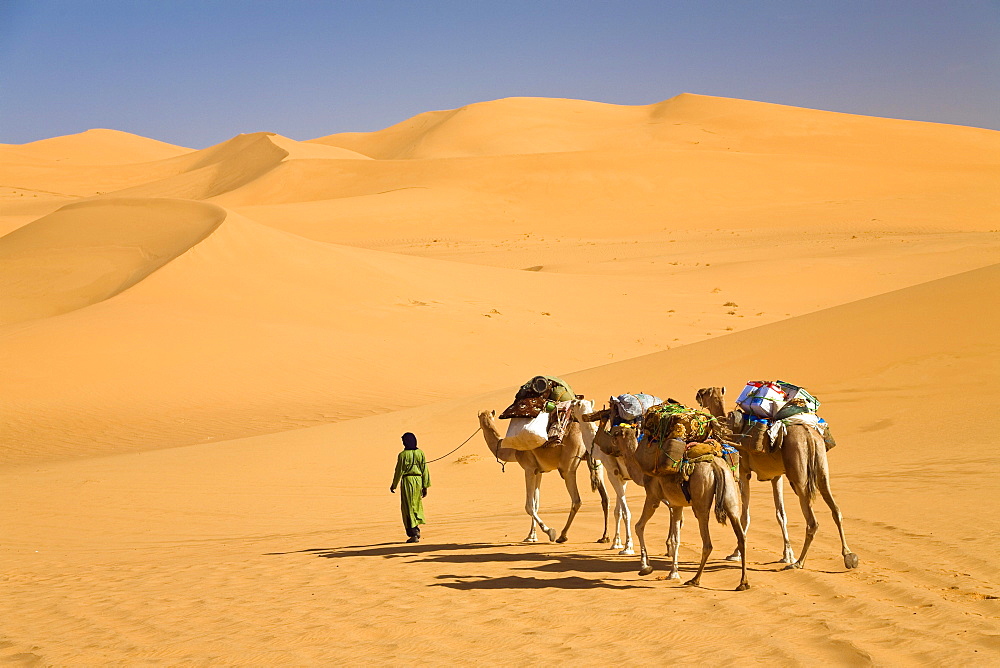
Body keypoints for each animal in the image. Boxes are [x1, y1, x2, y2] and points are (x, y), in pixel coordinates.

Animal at [476, 408, 608, 544]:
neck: (511, 450)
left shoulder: (528, 469)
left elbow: (529, 506)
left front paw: (549, 532)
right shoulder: (538, 471)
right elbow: (536, 504)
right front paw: (531, 536)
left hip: (568, 468)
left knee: (576, 500)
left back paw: (562, 536)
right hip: (597, 459)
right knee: (605, 497)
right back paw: (604, 537)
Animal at [604, 422, 748, 588]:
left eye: (615, 434)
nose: (607, 447)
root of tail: (715, 467)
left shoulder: (653, 497)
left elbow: (639, 526)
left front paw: (645, 567)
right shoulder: (676, 504)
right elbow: (676, 538)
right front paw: (673, 572)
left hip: (701, 498)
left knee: (707, 542)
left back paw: (695, 579)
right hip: (730, 492)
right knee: (741, 536)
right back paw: (743, 582)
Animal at [696, 386, 860, 568]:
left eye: (706, 392)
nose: (698, 393)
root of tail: (809, 436)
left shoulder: (744, 473)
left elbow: (745, 516)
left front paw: (736, 553)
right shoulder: (777, 476)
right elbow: (781, 515)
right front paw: (787, 554)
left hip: (799, 475)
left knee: (812, 521)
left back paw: (799, 562)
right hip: (822, 467)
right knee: (835, 510)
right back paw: (848, 556)